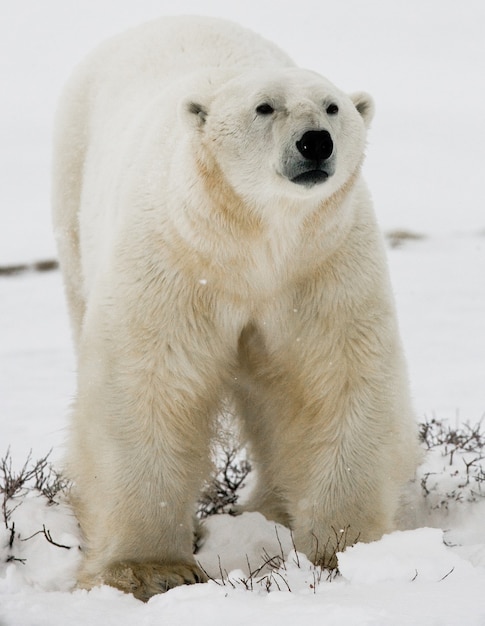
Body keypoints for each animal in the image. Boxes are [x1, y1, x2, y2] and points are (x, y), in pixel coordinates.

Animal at [51, 15, 418, 600]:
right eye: (264, 107)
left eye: (333, 107)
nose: (315, 142)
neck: (255, 240)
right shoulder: (175, 260)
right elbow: (147, 383)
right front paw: (147, 569)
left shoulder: (322, 266)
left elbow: (337, 377)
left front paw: (342, 550)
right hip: (72, 188)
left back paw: (269, 508)